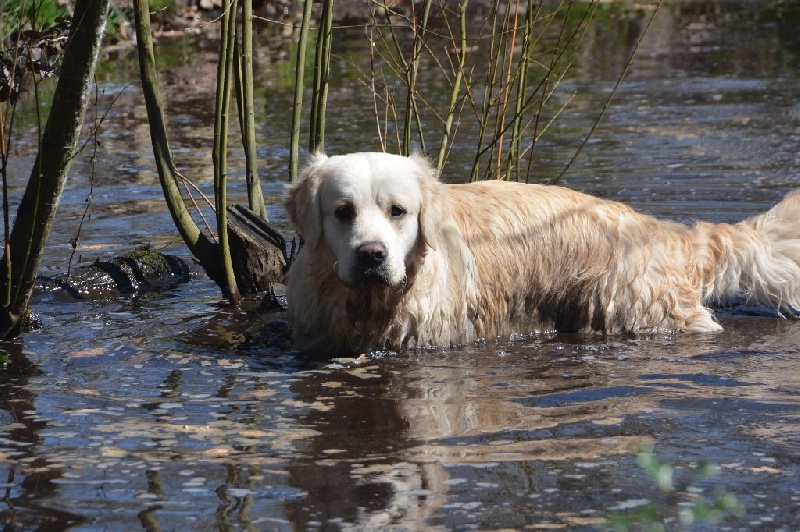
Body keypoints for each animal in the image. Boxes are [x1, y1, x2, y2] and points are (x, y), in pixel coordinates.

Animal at [286, 152, 800, 356]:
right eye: (343, 212)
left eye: (398, 211)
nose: (372, 255)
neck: (372, 304)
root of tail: (655, 226)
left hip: (642, 311)